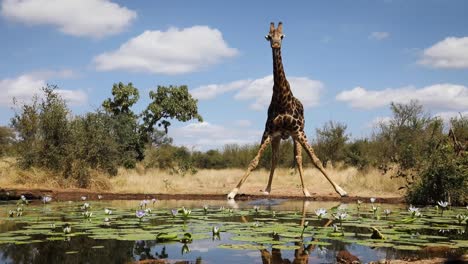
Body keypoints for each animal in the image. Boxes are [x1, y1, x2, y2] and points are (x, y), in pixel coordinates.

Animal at [227, 22, 348, 199]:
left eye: (282, 36)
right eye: (269, 36)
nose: (276, 44)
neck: (282, 100)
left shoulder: (298, 131)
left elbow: (316, 160)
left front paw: (341, 190)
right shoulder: (269, 132)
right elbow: (255, 161)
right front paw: (233, 192)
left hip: (297, 135)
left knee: (298, 158)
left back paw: (306, 191)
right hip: (279, 137)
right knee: (275, 158)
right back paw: (268, 189)